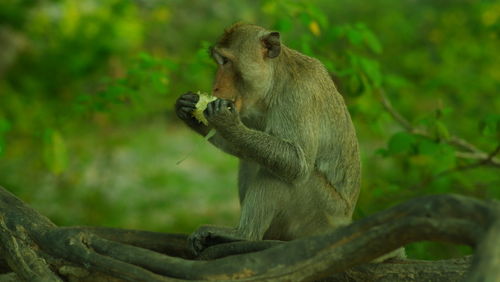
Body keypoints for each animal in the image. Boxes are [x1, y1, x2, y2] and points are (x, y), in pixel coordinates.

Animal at [175, 23, 360, 254]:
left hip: (322, 214)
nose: (215, 87)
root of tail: (344, 221)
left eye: (226, 61)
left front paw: (226, 121)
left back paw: (244, 234)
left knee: (282, 175)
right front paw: (190, 111)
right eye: (218, 61)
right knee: (254, 160)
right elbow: (243, 148)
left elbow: (297, 163)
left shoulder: (299, 94)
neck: (275, 82)